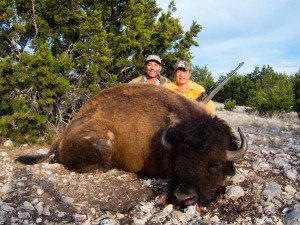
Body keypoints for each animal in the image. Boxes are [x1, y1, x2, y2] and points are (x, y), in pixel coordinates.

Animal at [15, 83, 247, 207]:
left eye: (214, 166)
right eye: (179, 163)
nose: (184, 196)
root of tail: (63, 134)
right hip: (104, 142)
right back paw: (108, 169)